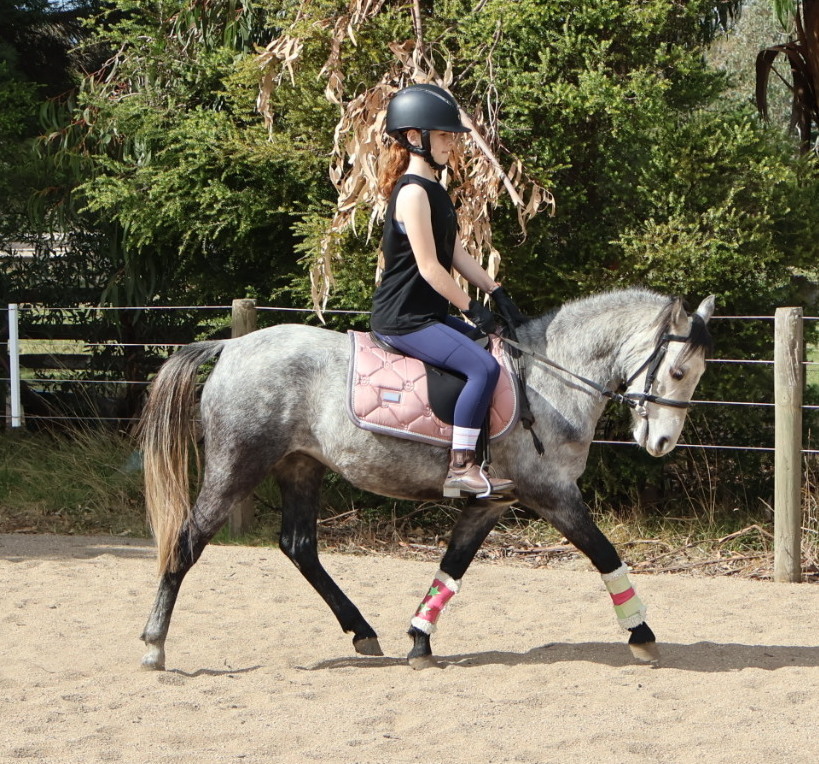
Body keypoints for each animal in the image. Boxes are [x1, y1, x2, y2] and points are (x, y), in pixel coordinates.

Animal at [137, 287, 714, 671]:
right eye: (678, 372)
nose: (663, 444)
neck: (550, 378)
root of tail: (232, 348)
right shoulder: (552, 493)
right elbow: (605, 553)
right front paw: (641, 634)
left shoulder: (492, 502)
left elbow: (452, 566)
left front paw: (419, 641)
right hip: (237, 465)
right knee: (186, 543)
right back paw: (155, 644)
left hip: (301, 466)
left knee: (298, 545)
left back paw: (362, 633)